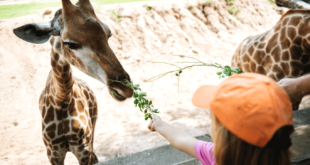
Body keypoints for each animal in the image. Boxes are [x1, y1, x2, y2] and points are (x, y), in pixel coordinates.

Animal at [12, 0, 133, 164]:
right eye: (70, 43)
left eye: (108, 35)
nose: (125, 89)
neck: (61, 100)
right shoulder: (53, 153)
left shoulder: (83, 149)